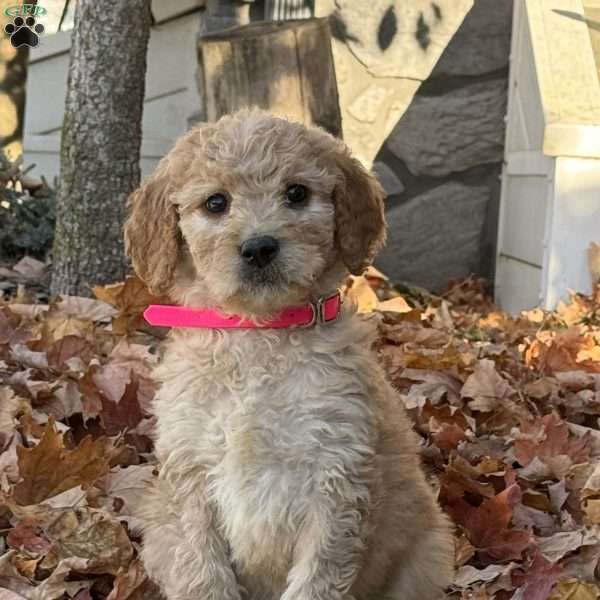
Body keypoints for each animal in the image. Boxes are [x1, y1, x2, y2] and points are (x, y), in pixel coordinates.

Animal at [124, 109, 452, 600]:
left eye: (297, 193)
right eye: (216, 203)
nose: (260, 247)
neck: (259, 336)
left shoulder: (337, 477)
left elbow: (316, 579)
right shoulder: (190, 477)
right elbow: (202, 573)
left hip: (428, 552)